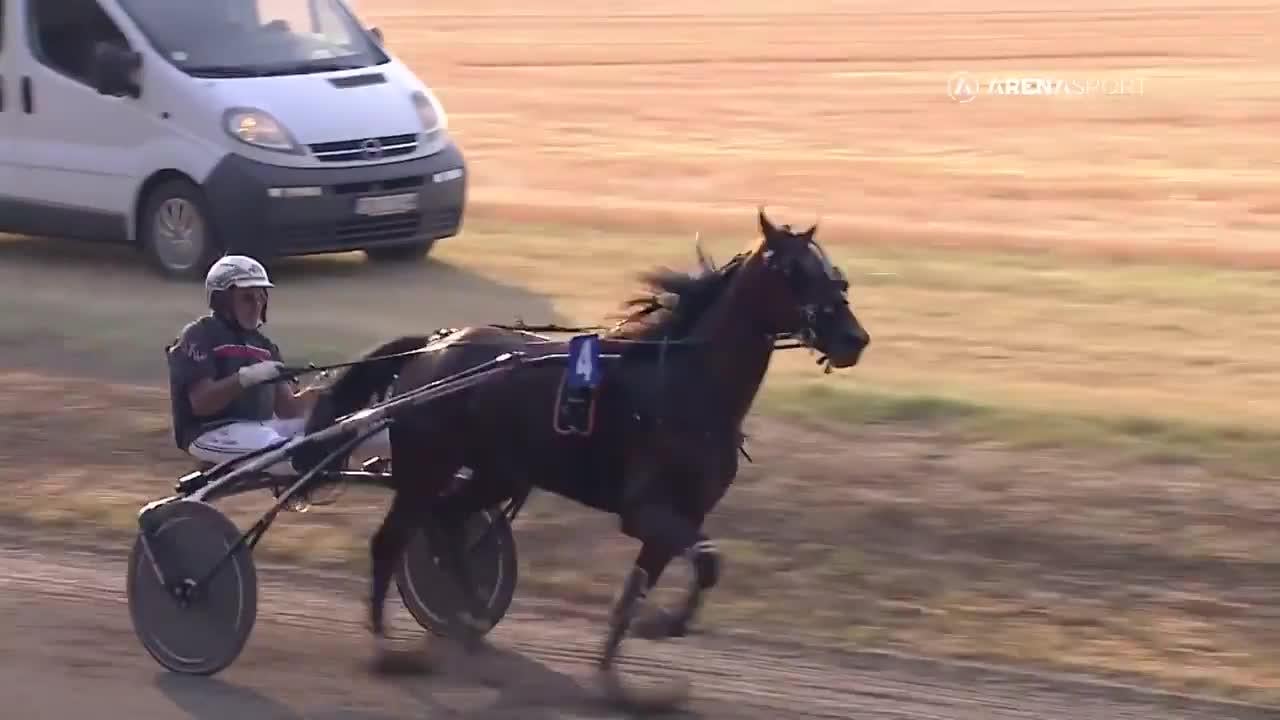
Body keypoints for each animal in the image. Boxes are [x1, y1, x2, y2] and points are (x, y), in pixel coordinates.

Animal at [297, 207, 870, 690]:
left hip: (496, 472)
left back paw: (468, 614)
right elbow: (705, 562)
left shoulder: (683, 513)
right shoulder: (644, 509)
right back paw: (385, 645)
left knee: (448, 521)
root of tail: (434, 345)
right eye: (795, 271)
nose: (854, 339)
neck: (688, 387)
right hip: (426, 468)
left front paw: (619, 664)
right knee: (392, 541)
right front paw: (659, 626)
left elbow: (654, 582)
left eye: (833, 272)